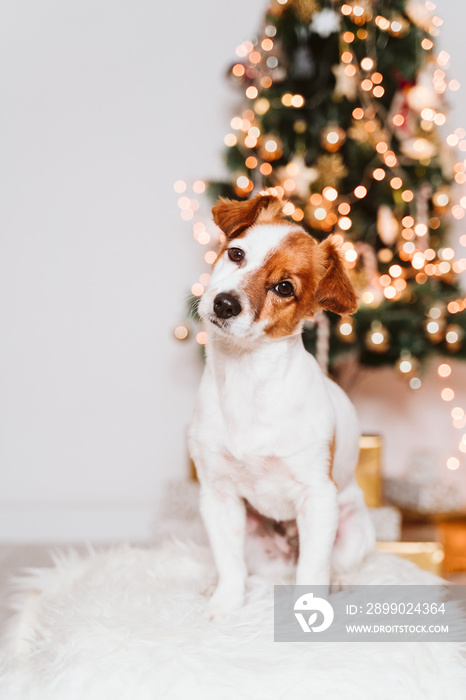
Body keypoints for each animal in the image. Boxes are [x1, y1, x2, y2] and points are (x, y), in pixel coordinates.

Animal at [187, 193, 374, 616]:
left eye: (284, 287)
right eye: (236, 254)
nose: (224, 304)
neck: (246, 379)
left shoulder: (318, 498)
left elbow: (313, 570)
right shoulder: (217, 494)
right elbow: (230, 563)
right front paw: (225, 603)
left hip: (353, 528)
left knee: (335, 564)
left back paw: (340, 583)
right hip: (257, 539)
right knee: (256, 572)